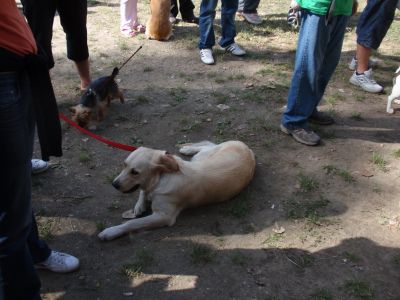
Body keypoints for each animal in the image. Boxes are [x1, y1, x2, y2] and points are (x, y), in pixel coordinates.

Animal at [98, 141, 255, 241]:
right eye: (124, 165)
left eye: (135, 172)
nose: (114, 184)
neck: (160, 178)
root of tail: (248, 149)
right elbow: (143, 191)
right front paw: (139, 205)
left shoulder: (164, 216)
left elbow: (132, 223)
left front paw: (110, 232)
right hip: (197, 158)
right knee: (209, 144)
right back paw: (187, 149)